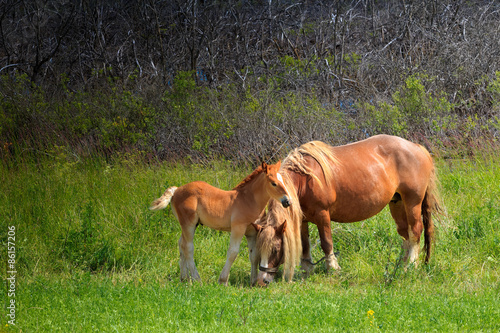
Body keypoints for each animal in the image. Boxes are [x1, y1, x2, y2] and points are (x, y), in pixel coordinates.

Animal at [149, 161, 290, 286]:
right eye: (274, 183)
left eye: (283, 181)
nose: (287, 201)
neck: (248, 200)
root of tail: (177, 190)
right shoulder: (238, 228)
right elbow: (233, 252)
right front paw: (223, 281)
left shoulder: (252, 232)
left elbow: (254, 255)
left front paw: (254, 281)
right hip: (188, 223)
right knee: (188, 247)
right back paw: (197, 279)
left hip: (189, 225)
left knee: (181, 244)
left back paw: (184, 279)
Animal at [256, 135, 440, 286]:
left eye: (275, 249)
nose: (262, 281)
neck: (304, 179)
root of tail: (418, 147)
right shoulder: (302, 220)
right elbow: (305, 245)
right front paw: (306, 271)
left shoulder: (322, 215)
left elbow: (326, 243)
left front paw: (333, 268)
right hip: (397, 203)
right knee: (405, 234)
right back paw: (401, 264)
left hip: (412, 203)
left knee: (415, 232)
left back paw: (410, 265)